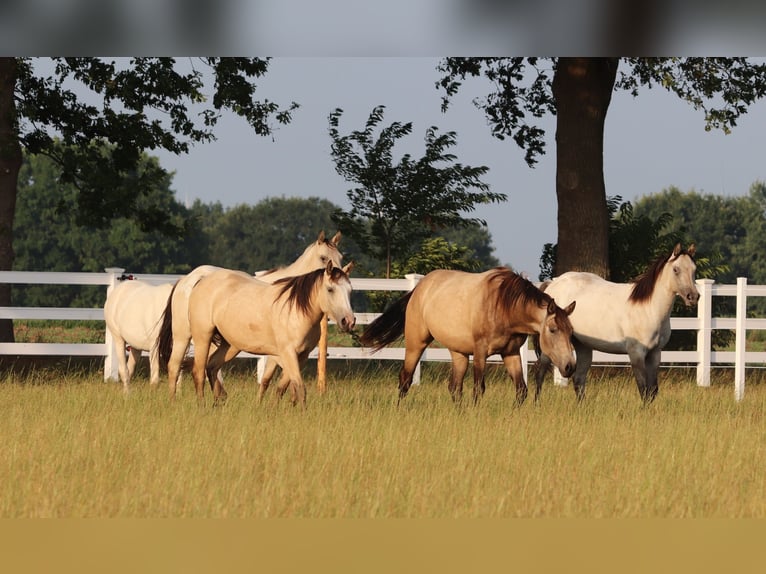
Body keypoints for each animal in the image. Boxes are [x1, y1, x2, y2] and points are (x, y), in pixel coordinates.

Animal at [157, 230, 342, 399]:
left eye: (340, 257)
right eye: (323, 257)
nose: (336, 274)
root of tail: (187, 280)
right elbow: (271, 379)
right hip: (183, 335)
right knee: (175, 366)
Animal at [359, 268, 577, 406]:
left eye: (570, 332)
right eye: (553, 329)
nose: (569, 367)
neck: (504, 305)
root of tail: (418, 290)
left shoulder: (511, 353)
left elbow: (521, 390)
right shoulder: (480, 352)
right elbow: (479, 388)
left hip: (458, 353)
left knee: (454, 387)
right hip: (416, 343)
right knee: (405, 379)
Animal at [534, 243, 699, 404]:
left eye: (694, 269)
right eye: (676, 269)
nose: (693, 297)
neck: (649, 309)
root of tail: (552, 284)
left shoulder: (655, 353)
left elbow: (653, 391)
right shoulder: (636, 353)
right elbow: (643, 389)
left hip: (583, 346)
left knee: (579, 379)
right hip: (550, 348)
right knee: (540, 373)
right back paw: (537, 403)